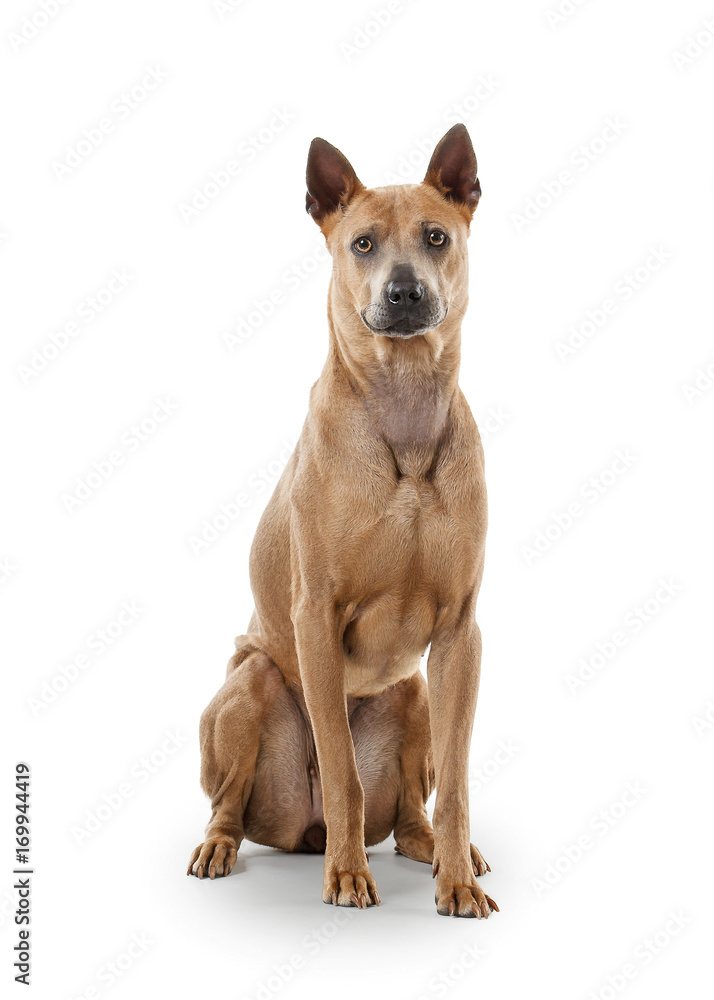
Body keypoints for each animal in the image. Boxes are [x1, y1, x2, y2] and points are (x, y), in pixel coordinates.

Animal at [185, 125, 496, 920]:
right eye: (361, 244)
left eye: (436, 236)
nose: (405, 290)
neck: (404, 414)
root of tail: (303, 830)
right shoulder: (316, 620)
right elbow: (345, 773)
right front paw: (350, 875)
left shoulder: (460, 633)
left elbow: (457, 783)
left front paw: (457, 881)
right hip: (249, 687)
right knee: (231, 804)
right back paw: (224, 848)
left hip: (415, 693)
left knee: (415, 812)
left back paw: (440, 853)